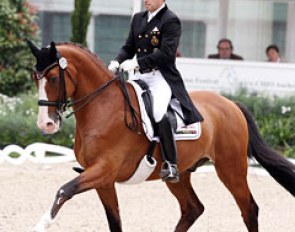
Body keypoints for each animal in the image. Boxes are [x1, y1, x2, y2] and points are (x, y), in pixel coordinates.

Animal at [26, 41, 294, 232]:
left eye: (52, 78)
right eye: (35, 78)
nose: (45, 124)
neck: (103, 108)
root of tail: (230, 104)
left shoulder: (104, 170)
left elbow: (64, 190)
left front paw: (40, 224)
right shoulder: (102, 180)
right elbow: (114, 222)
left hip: (231, 168)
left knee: (249, 208)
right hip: (180, 174)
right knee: (192, 209)